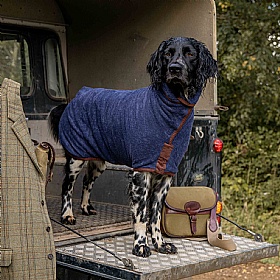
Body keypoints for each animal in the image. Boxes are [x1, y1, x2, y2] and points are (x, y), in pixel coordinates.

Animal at [49, 37, 218, 258]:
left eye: (190, 54)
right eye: (168, 54)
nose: (174, 68)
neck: (171, 109)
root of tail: (73, 99)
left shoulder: (165, 175)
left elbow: (155, 216)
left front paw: (160, 244)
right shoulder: (141, 172)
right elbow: (141, 215)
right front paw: (140, 245)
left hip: (98, 161)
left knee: (87, 181)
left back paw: (86, 207)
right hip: (76, 156)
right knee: (67, 185)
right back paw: (67, 214)